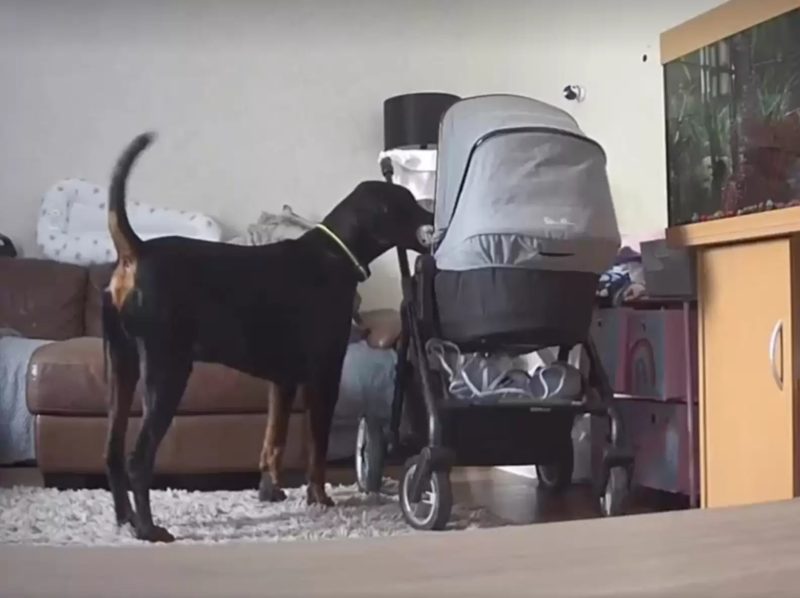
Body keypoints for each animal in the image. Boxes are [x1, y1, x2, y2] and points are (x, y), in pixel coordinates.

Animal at [104, 134, 434, 548]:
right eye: (406, 203)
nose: (434, 216)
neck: (334, 254)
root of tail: (136, 251)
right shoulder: (324, 374)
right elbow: (317, 446)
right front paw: (319, 497)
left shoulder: (283, 380)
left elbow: (273, 439)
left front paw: (269, 491)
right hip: (167, 370)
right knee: (138, 457)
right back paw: (149, 530)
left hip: (122, 365)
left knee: (113, 451)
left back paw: (124, 519)